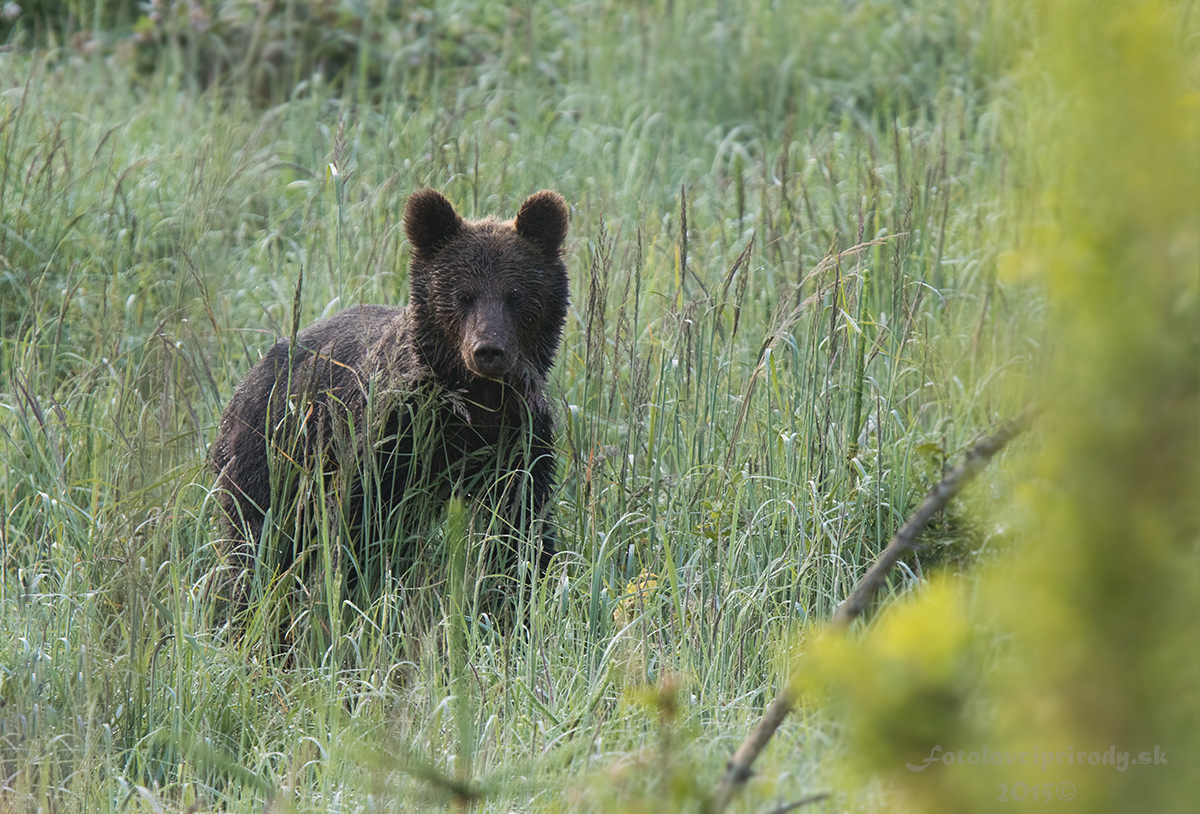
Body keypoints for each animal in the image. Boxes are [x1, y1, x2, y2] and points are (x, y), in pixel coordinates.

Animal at [208, 188, 568, 602]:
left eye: (516, 295)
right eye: (462, 295)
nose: (488, 350)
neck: (475, 400)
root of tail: (244, 382)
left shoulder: (517, 435)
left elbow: (521, 524)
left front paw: (521, 590)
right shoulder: (392, 431)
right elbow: (362, 523)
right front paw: (355, 589)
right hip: (271, 453)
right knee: (259, 540)